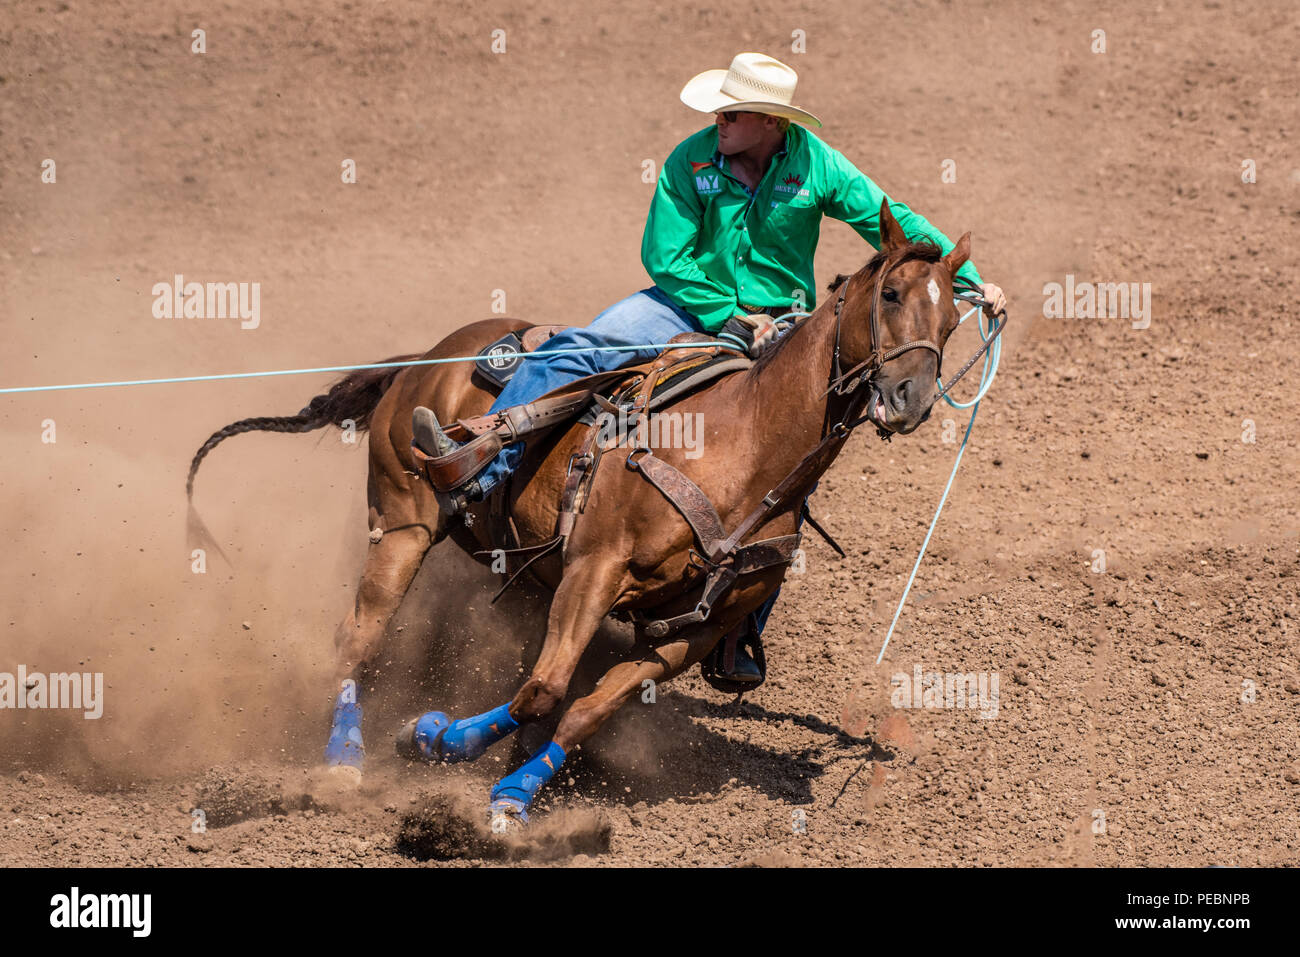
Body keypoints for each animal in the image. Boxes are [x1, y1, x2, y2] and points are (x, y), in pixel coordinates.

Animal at [188, 201, 982, 821]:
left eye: (951, 322)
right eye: (891, 293)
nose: (911, 398)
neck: (741, 446)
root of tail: (424, 360)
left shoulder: (688, 630)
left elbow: (582, 706)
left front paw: (511, 793)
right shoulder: (593, 570)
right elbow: (541, 691)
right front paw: (438, 737)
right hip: (404, 524)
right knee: (358, 639)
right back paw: (342, 758)